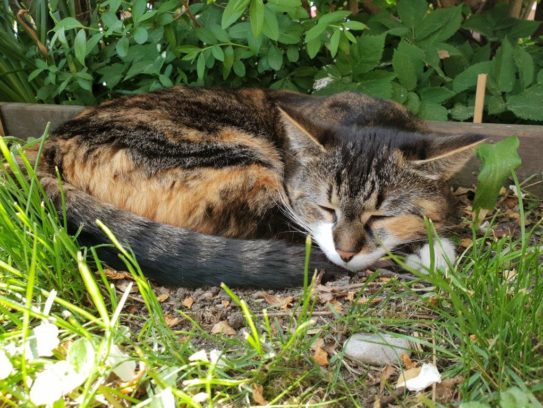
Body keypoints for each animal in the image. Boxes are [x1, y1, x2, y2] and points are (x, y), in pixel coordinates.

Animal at [38, 87, 483, 288]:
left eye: (381, 216)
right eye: (326, 208)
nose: (346, 251)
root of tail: (53, 144)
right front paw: (431, 250)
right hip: (236, 158)